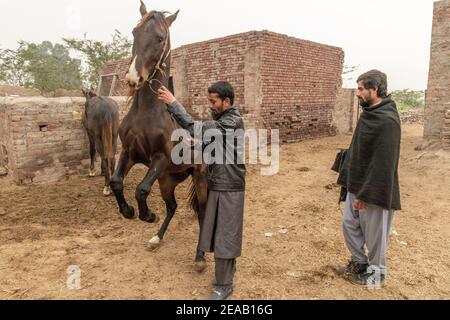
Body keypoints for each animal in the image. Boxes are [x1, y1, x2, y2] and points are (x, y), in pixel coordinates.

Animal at [110, 1, 208, 272]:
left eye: (160, 38)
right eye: (134, 32)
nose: (133, 78)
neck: (147, 112)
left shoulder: (160, 158)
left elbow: (141, 189)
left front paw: (147, 215)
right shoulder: (129, 153)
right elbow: (116, 182)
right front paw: (128, 212)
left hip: (198, 177)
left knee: (202, 212)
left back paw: (200, 257)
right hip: (167, 180)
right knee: (172, 207)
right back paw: (156, 238)